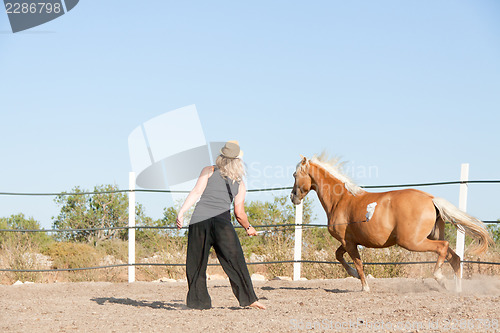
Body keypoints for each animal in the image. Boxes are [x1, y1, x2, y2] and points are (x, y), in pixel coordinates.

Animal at [290, 153, 492, 290]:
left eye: (294, 175)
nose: (293, 197)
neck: (340, 200)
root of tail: (431, 199)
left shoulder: (348, 241)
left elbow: (357, 262)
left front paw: (364, 286)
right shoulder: (349, 241)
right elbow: (339, 256)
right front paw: (355, 277)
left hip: (412, 241)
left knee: (443, 248)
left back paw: (440, 278)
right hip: (431, 236)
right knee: (455, 258)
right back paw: (457, 289)